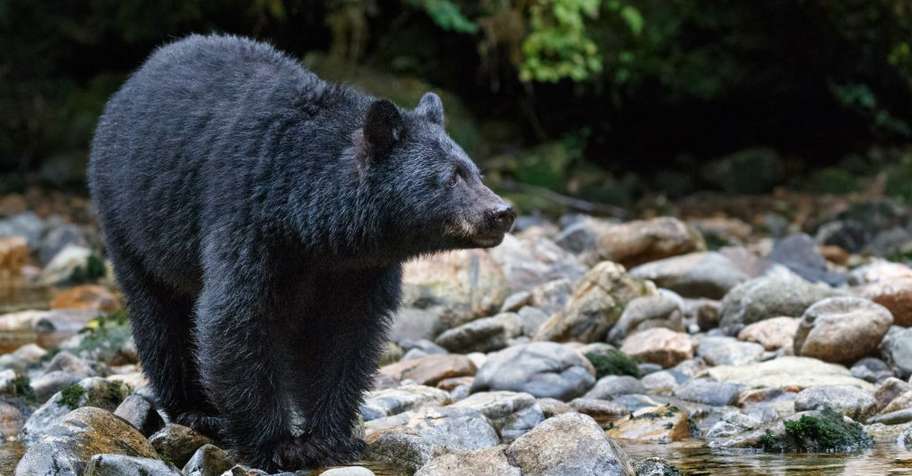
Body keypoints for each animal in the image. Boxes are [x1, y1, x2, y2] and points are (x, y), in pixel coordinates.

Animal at [88, 34, 514, 471]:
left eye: (475, 171)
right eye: (450, 178)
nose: (502, 213)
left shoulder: (357, 269)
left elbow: (344, 335)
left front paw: (330, 438)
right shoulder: (248, 221)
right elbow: (238, 318)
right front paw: (275, 445)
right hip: (132, 219)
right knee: (160, 314)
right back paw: (195, 410)